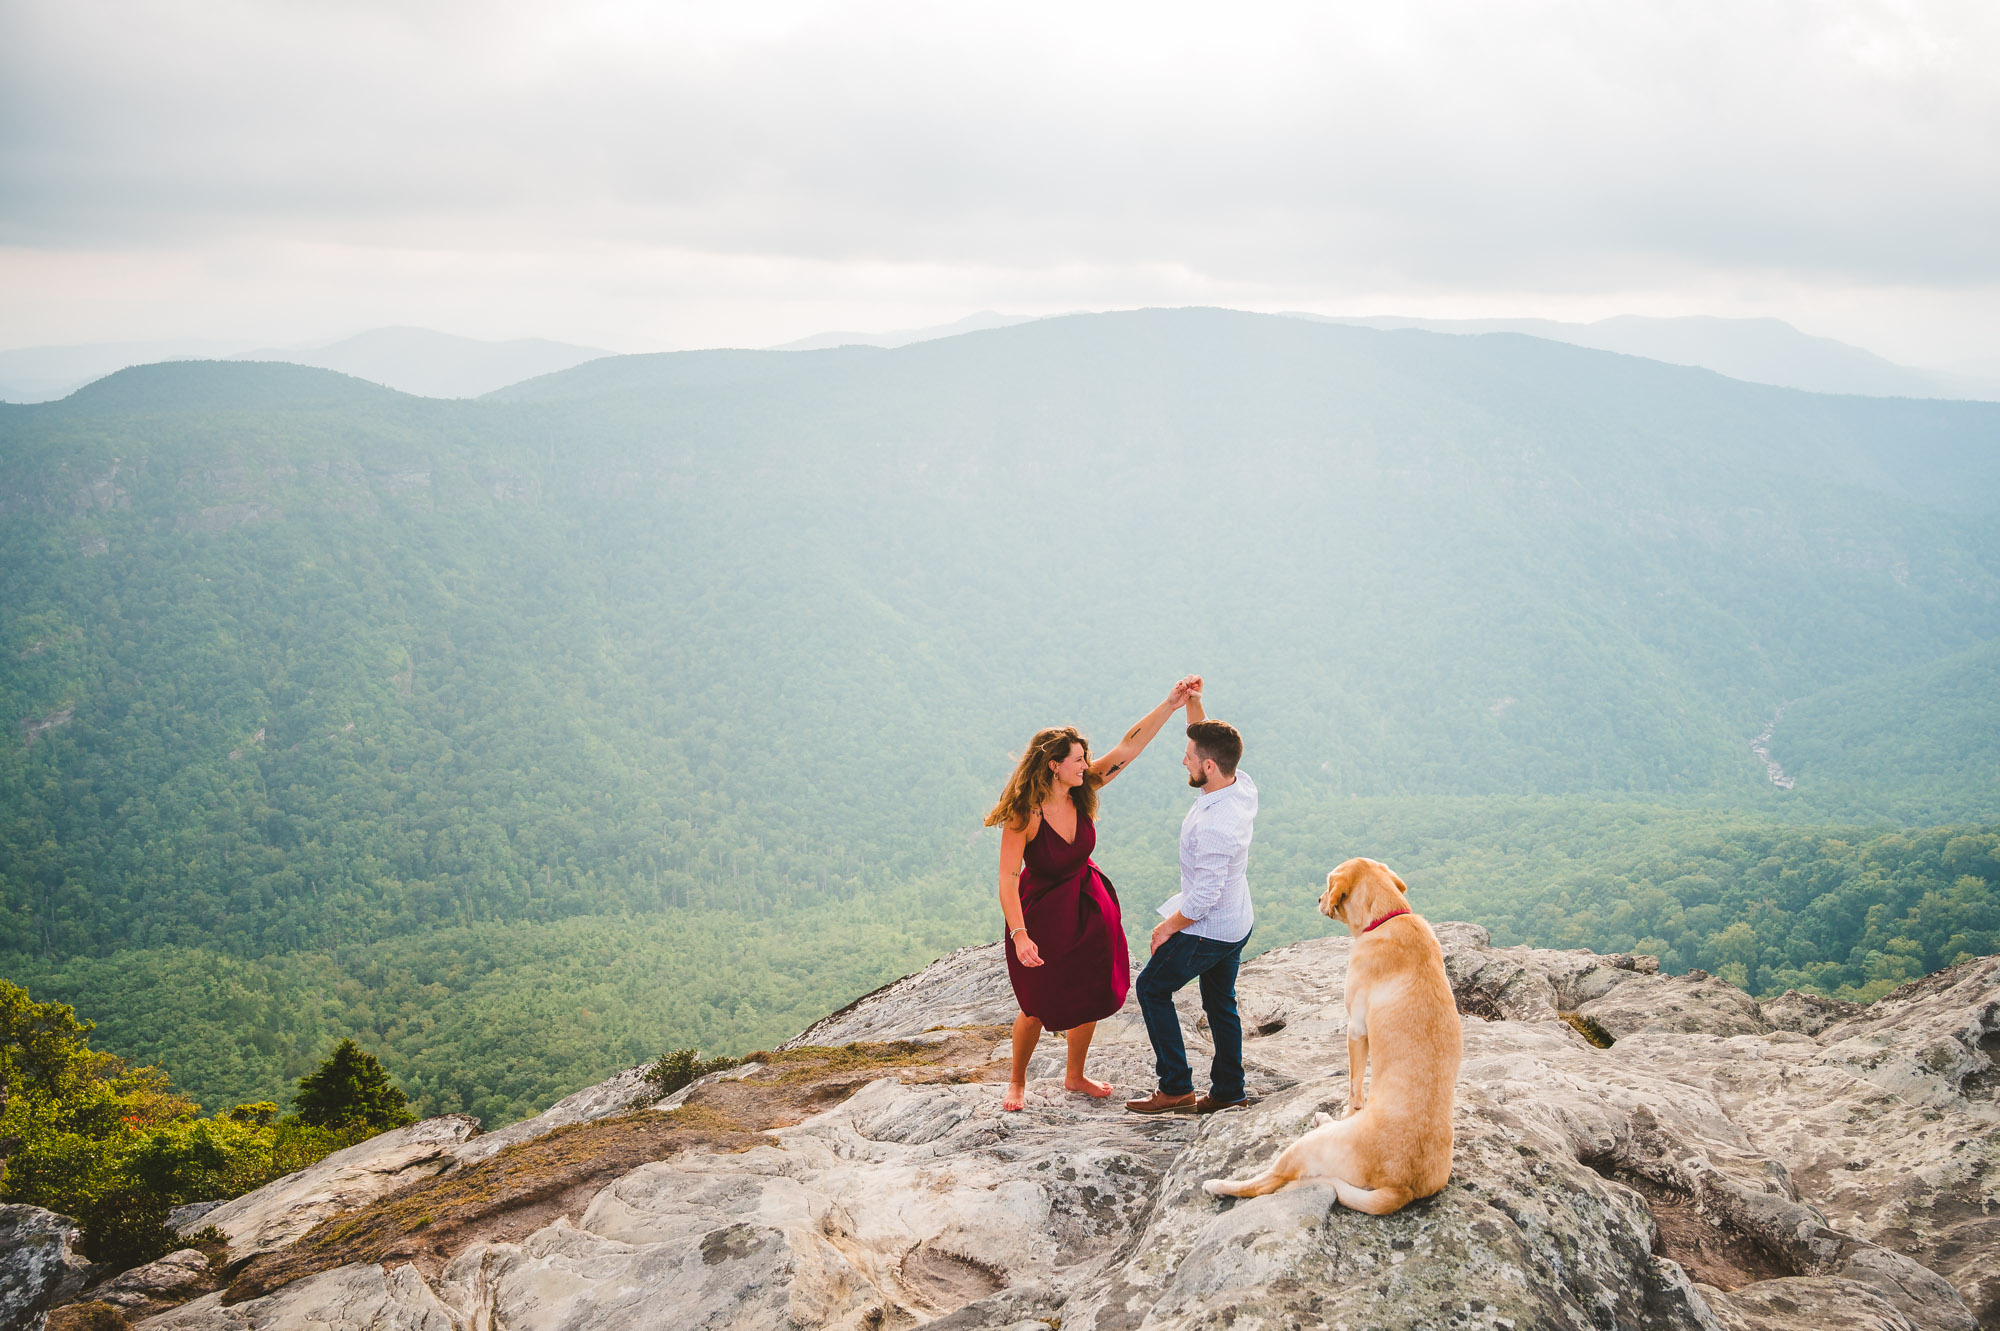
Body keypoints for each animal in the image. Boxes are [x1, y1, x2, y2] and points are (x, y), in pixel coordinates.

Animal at [1200, 855, 1472, 1207]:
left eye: (1328, 882)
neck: (1387, 917)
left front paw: (1348, 1107)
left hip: (1307, 1147)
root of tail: (1402, 1188)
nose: (1317, 899)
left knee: (1267, 1182)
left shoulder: (1356, 1029)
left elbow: (1354, 1087)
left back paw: (1218, 1185)